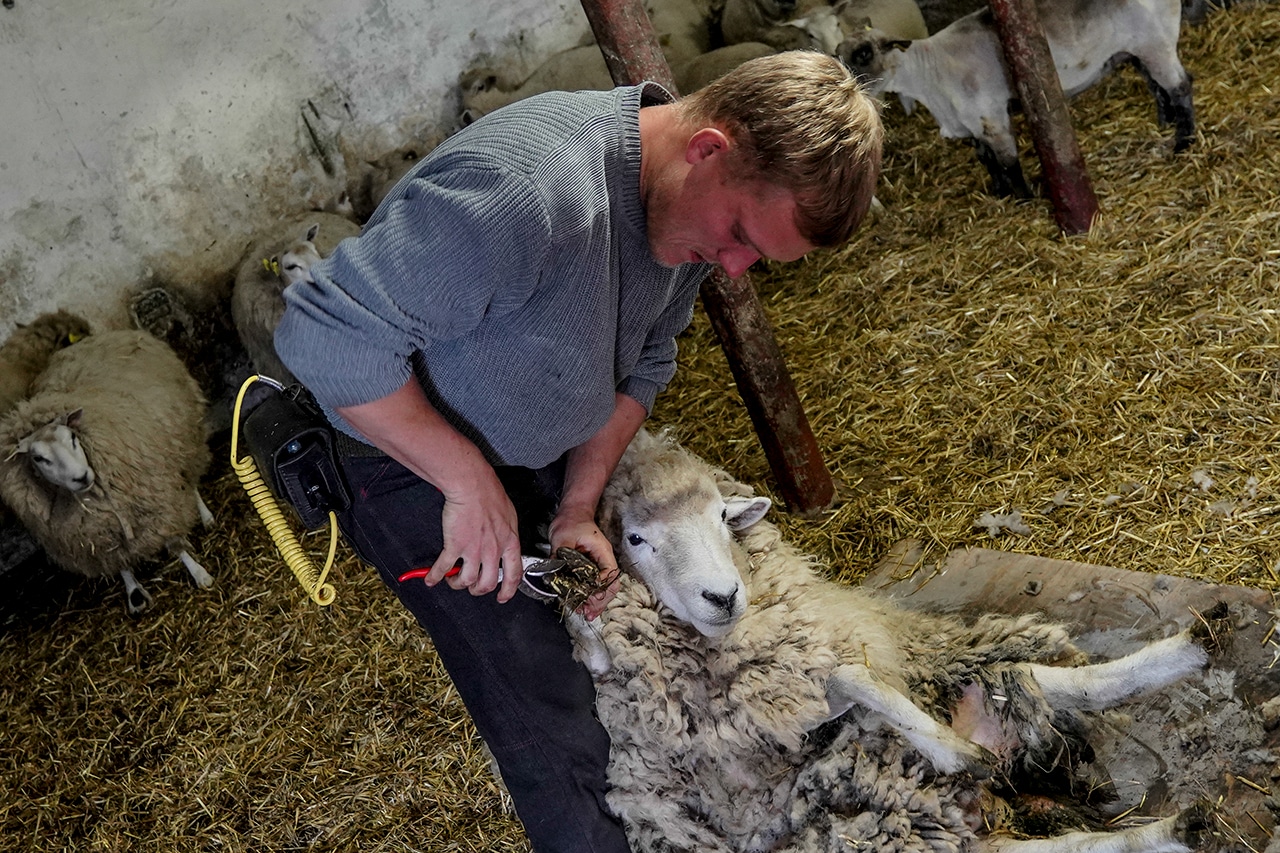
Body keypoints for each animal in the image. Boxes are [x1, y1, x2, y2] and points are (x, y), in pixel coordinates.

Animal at [0, 326, 215, 612]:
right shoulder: (99, 537)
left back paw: (205, 516)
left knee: (190, 477)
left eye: (73, 437)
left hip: (184, 434)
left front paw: (199, 573)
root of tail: (107, 334)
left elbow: (174, 542)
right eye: (38, 458)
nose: (82, 477)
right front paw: (134, 593)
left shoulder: (156, 503)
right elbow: (119, 563)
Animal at [570, 427, 1218, 845]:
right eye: (635, 539)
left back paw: (1195, 646)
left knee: (1049, 681)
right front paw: (955, 752)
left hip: (950, 686)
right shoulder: (769, 711)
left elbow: (856, 672)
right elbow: (852, 675)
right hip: (897, 815)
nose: (722, 595)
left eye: (721, 518)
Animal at [834, 0, 1192, 194]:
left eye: (864, 53)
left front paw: (1023, 197)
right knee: (1158, 87)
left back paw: (1183, 143)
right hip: (1138, 52)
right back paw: (1165, 122)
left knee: (1181, 87)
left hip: (1156, 43)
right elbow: (986, 159)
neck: (931, 76)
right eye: (837, 52)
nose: (840, 83)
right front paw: (999, 193)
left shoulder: (990, 116)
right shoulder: (972, 124)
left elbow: (1007, 161)